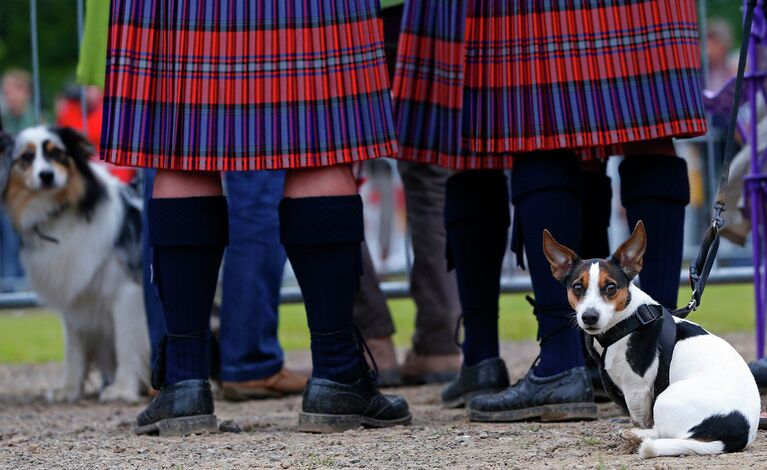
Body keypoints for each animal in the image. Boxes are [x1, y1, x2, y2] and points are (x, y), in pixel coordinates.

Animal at [0, 126, 148, 402]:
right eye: (26, 157)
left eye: (57, 153)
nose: (46, 175)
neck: (62, 212)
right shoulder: (75, 293)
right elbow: (74, 348)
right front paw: (69, 389)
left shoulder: (127, 293)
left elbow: (127, 342)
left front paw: (123, 388)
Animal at [544, 222, 760, 458]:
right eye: (577, 287)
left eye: (611, 287)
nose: (589, 317)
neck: (627, 320)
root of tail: (734, 437)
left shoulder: (637, 390)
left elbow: (640, 420)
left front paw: (631, 436)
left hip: (667, 397)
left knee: (661, 432)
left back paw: (633, 436)